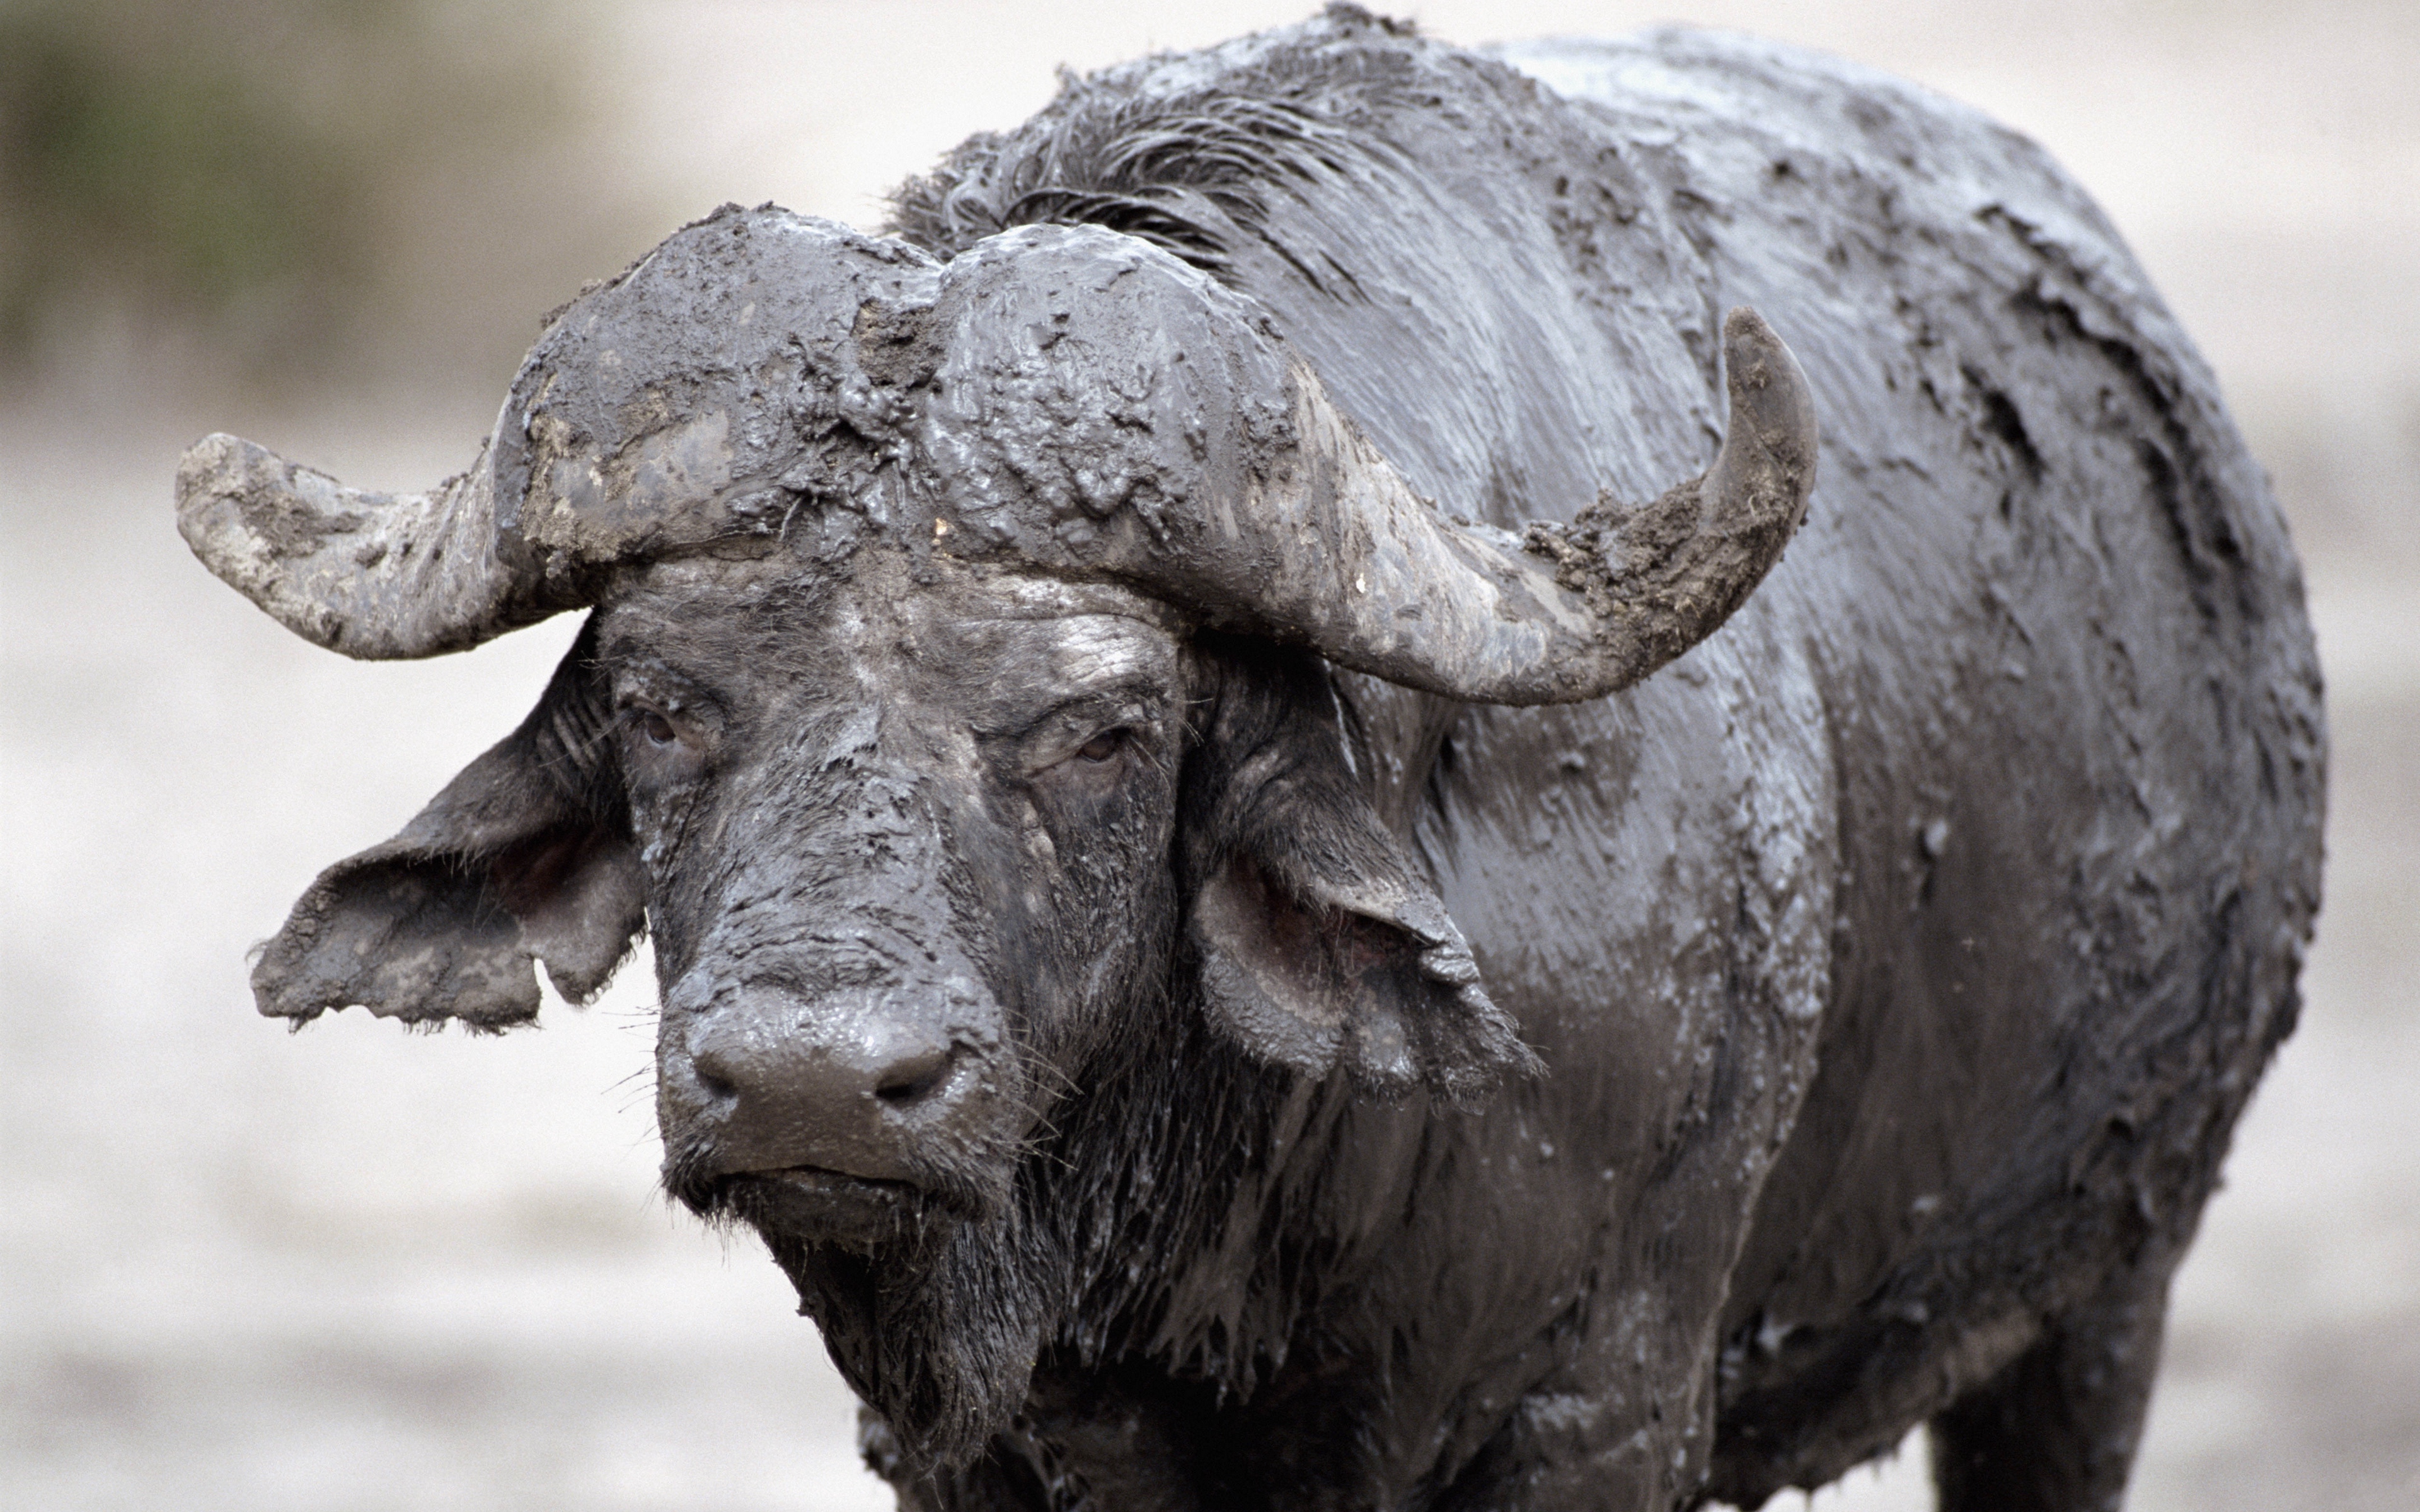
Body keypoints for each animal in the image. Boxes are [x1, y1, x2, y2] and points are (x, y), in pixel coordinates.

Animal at [177, 9, 2323, 1510]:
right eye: (656, 700)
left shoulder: (1603, 1402)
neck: (1218, 1224)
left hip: (2110, 1284)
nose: (809, 1081)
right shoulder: (978, 1450)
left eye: (1106, 725)